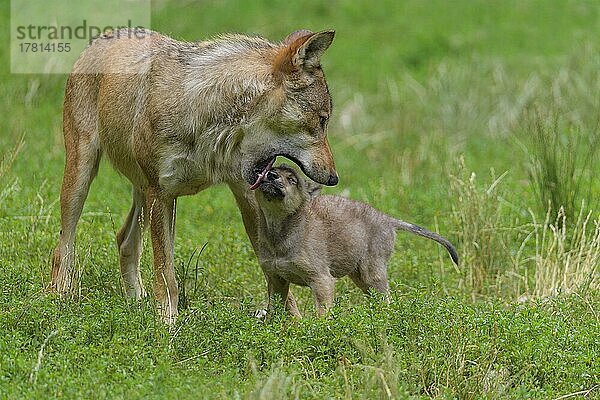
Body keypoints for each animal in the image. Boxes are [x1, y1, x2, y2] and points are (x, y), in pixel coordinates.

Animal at [51, 27, 338, 322]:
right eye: (322, 120)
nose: (334, 178)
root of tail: (107, 35)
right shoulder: (162, 194)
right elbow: (166, 274)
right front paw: (167, 324)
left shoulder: (244, 194)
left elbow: (276, 275)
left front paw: (294, 324)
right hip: (83, 177)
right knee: (63, 246)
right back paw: (60, 297)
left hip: (142, 195)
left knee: (124, 241)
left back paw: (136, 301)